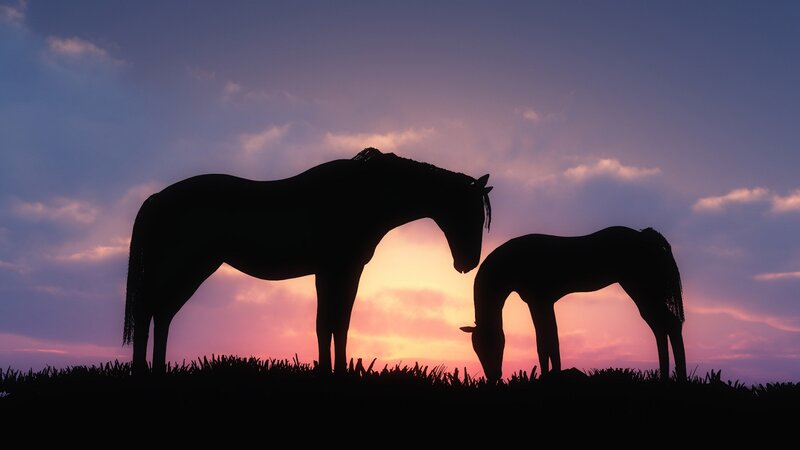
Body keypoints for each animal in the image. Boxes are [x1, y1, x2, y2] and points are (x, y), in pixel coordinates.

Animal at [124, 148, 492, 374]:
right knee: (151, 311)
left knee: (161, 313)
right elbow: (333, 322)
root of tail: (157, 198)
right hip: (185, 267)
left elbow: (330, 323)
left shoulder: (332, 272)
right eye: (470, 213)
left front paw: (332, 370)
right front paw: (336, 372)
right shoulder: (341, 269)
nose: (468, 264)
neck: (362, 196)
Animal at [461, 226, 685, 383]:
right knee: (660, 327)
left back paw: (679, 377)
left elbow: (546, 342)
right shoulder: (542, 302)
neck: (513, 262)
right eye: (476, 348)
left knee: (669, 325)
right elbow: (548, 341)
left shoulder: (539, 301)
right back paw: (665, 376)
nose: (493, 376)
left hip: (642, 290)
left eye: (490, 344)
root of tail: (646, 237)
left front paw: (550, 376)